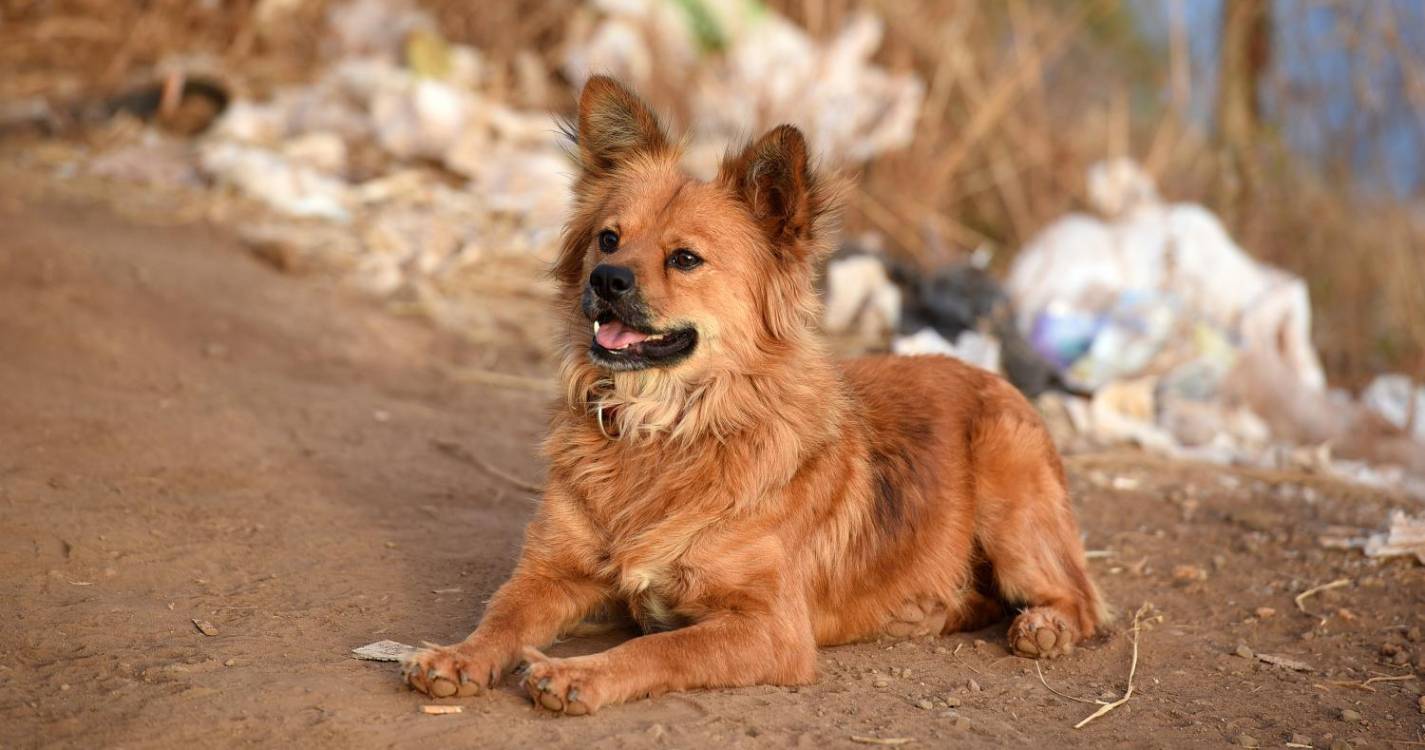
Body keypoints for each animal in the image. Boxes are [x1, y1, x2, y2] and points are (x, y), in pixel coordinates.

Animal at [401, 76, 1100, 718]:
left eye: (685, 258)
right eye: (608, 239)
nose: (605, 280)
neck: (668, 425)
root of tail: (991, 375)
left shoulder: (770, 629)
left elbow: (658, 648)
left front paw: (581, 674)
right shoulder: (551, 573)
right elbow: (502, 613)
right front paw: (458, 656)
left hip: (1010, 495)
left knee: (1082, 599)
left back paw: (1045, 625)